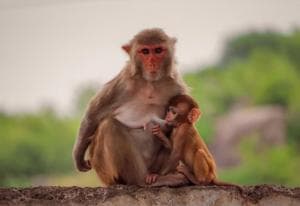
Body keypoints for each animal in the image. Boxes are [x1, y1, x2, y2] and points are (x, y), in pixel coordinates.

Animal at [73, 28, 199, 186]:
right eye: (145, 51)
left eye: (158, 50)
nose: (152, 62)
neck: (150, 83)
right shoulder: (122, 82)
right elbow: (94, 114)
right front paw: (78, 155)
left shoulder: (177, 86)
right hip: (106, 172)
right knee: (109, 126)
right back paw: (141, 181)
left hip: (153, 167)